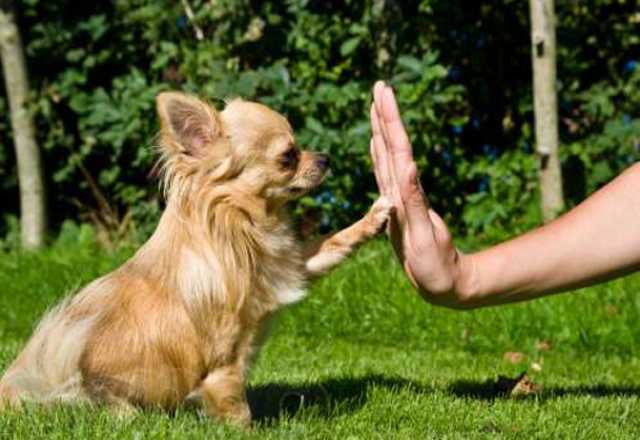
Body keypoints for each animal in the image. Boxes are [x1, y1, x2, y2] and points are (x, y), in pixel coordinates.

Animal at [0, 91, 390, 424]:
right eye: (288, 157)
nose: (325, 157)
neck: (241, 227)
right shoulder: (224, 361)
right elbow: (234, 405)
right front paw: (244, 430)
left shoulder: (287, 268)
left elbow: (332, 244)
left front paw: (374, 217)